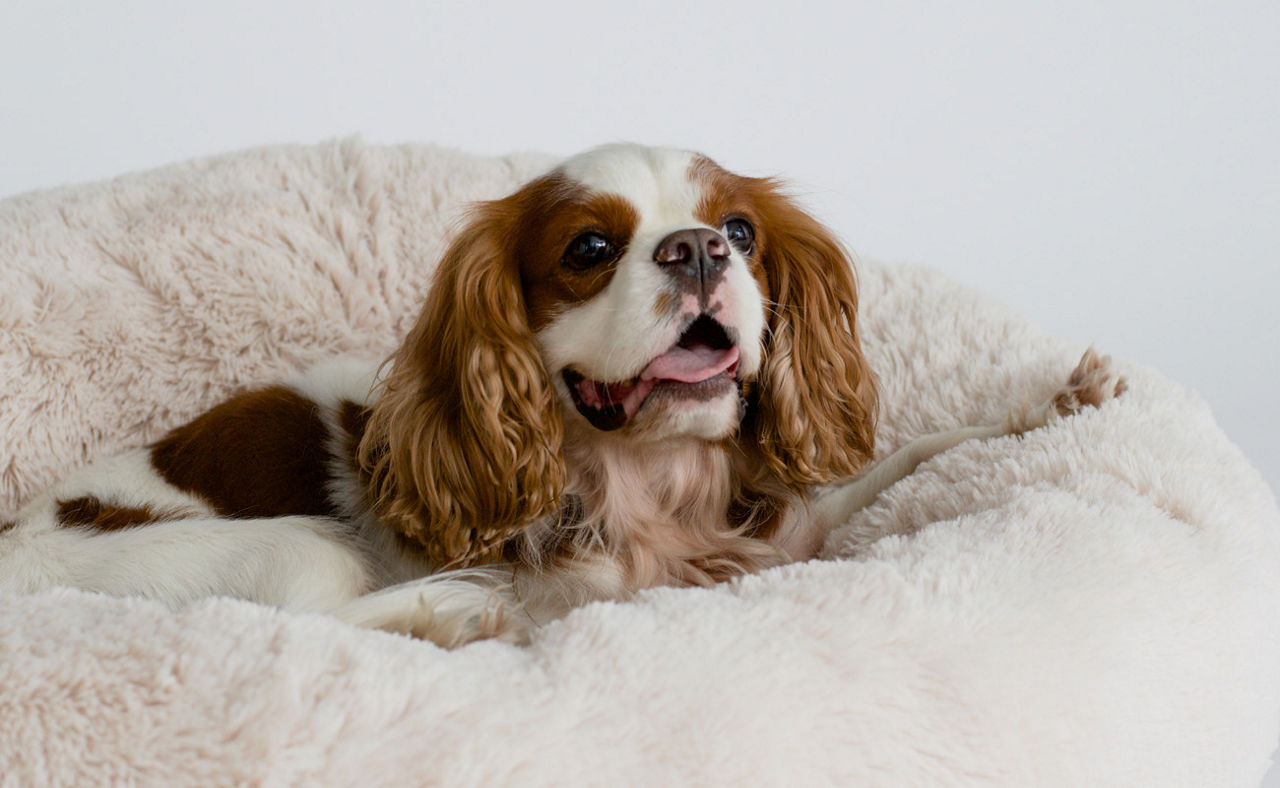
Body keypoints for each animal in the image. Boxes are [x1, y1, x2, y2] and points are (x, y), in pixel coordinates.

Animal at [0, 146, 1121, 647]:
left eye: (740, 230)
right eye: (589, 249)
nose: (697, 248)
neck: (653, 479)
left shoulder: (786, 527)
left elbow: (911, 454)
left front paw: (1048, 404)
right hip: (284, 546)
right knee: (315, 621)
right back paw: (451, 607)